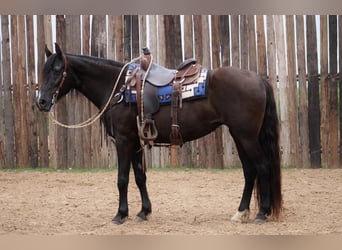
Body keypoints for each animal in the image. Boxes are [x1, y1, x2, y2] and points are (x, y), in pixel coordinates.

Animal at [38, 43, 284, 225]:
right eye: (43, 70)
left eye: (57, 70)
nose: (41, 101)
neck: (118, 88)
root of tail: (258, 78)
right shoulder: (136, 141)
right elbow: (140, 177)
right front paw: (143, 212)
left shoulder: (123, 141)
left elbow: (122, 178)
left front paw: (120, 214)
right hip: (239, 135)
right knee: (250, 171)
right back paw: (241, 212)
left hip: (246, 136)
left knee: (262, 167)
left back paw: (262, 213)